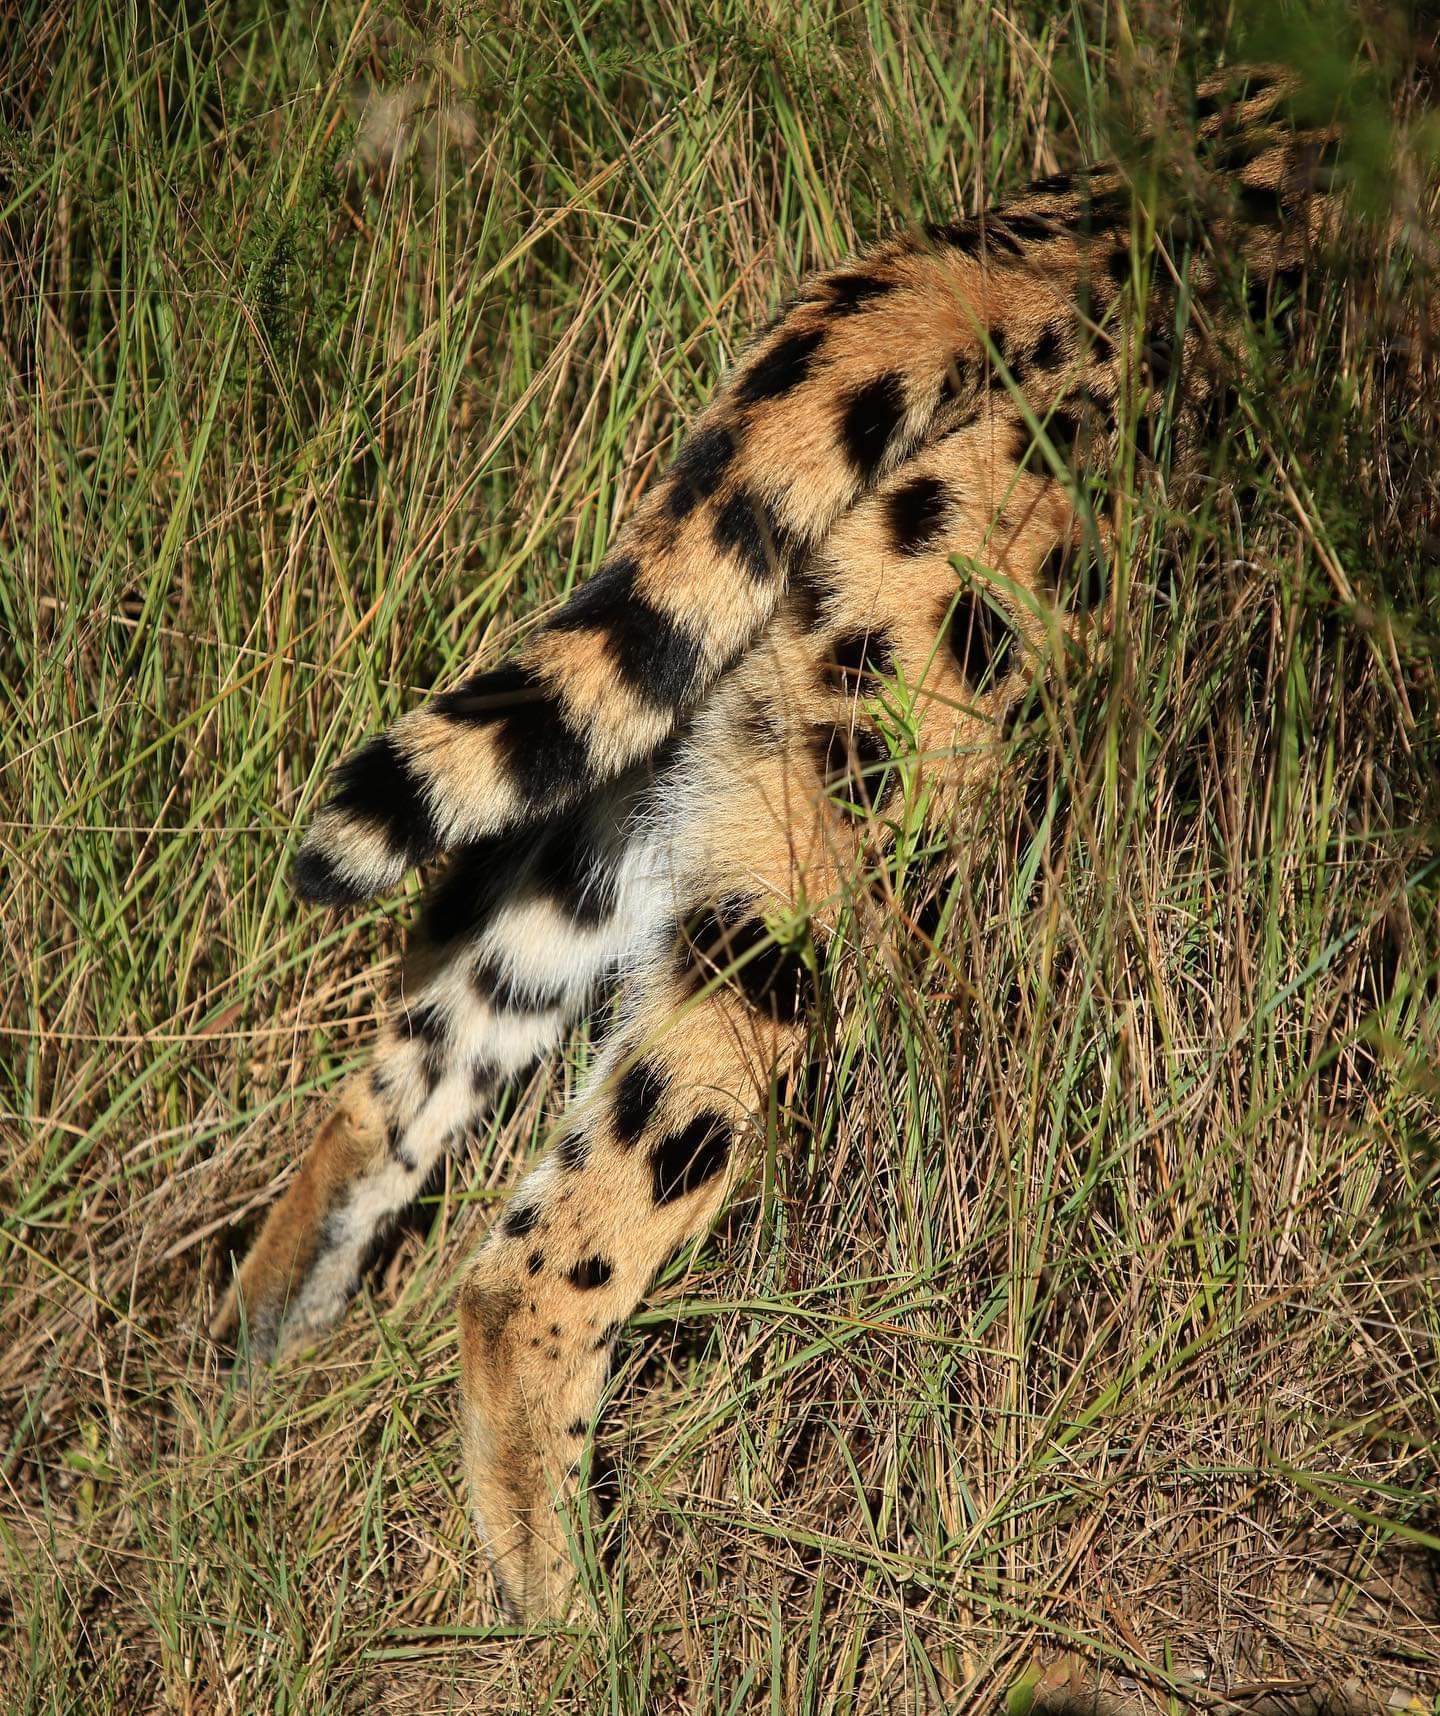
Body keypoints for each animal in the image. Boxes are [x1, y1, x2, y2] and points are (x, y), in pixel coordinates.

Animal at [213, 70, 1352, 1619]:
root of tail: (1014, 244)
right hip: (850, 827)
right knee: (536, 1264)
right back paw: (574, 1619)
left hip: (675, 757)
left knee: (412, 1065)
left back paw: (260, 1337)